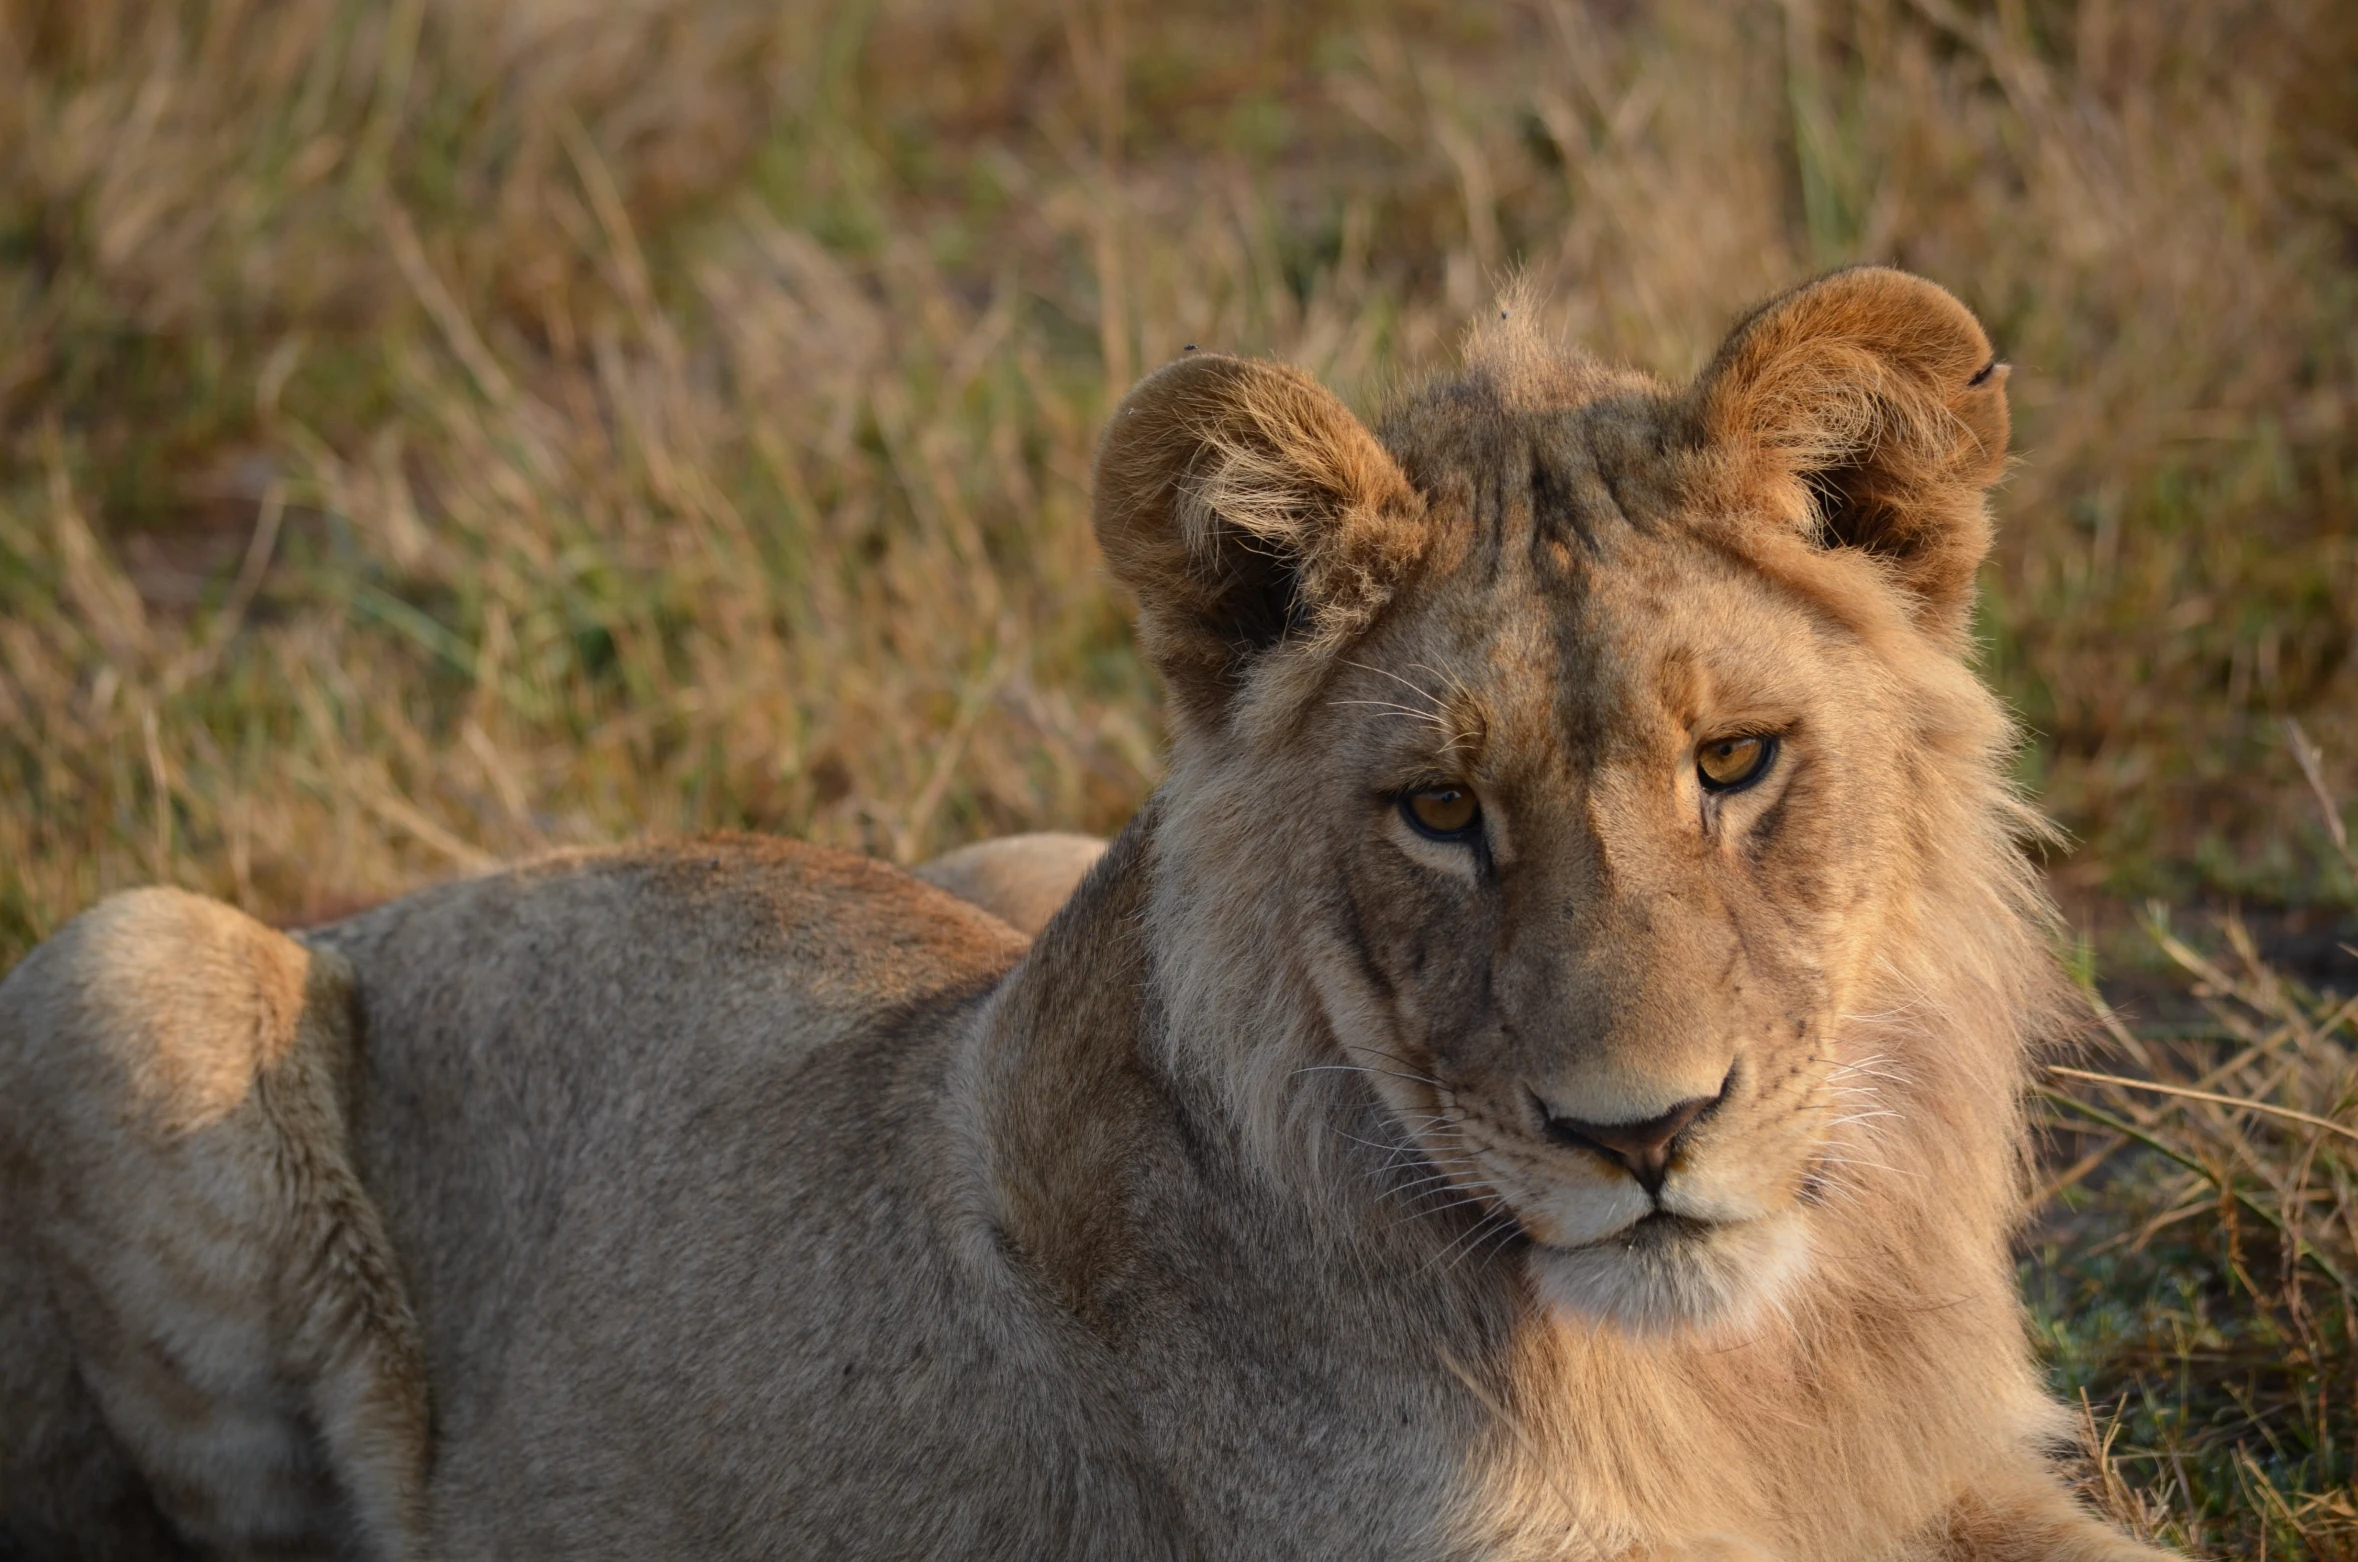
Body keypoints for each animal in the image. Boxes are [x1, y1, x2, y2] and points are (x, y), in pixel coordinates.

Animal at [0, 272, 2169, 1562]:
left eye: (1733, 761)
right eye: (1439, 813)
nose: (1639, 1135)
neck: (1756, 1372)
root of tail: (408, 903)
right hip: (121, 961)